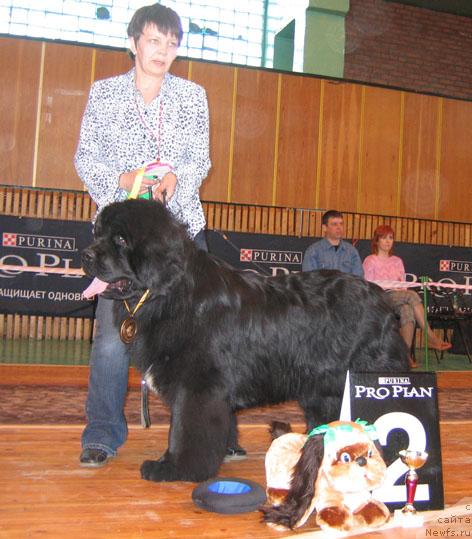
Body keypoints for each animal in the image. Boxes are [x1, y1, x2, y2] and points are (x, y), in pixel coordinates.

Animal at [81, 199, 406, 486]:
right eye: (98, 233)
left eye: (121, 239)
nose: (86, 255)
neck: (171, 293)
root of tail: (383, 299)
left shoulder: (198, 388)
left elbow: (185, 430)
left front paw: (174, 467)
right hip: (323, 390)